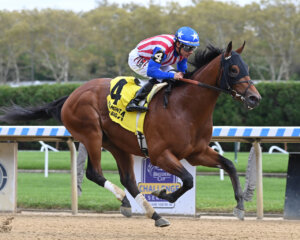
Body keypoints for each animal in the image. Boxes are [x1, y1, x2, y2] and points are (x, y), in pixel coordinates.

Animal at [0, 41, 260, 227]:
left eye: (247, 67)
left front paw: (239, 205)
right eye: (234, 69)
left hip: (118, 144)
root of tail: (71, 95)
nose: (254, 98)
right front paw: (164, 194)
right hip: (91, 134)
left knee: (129, 180)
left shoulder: (196, 152)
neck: (185, 108)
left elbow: (229, 165)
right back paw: (126, 200)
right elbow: (187, 179)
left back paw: (154, 215)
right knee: (95, 173)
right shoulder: (160, 155)